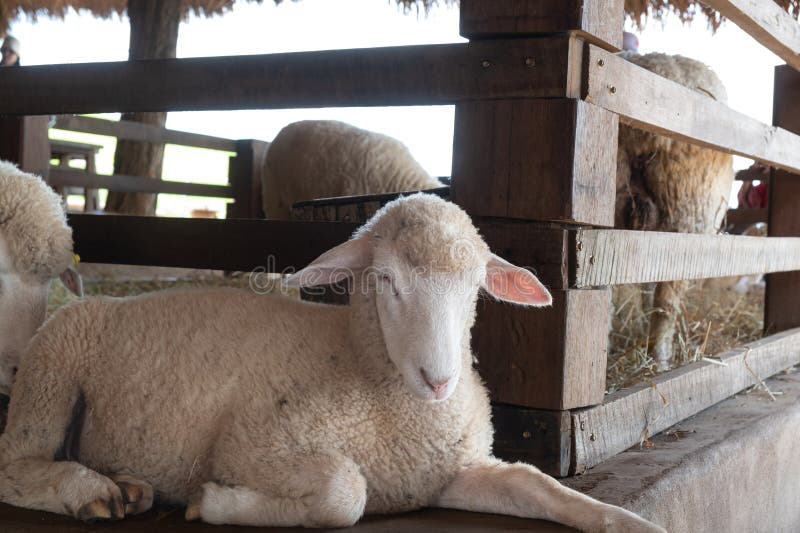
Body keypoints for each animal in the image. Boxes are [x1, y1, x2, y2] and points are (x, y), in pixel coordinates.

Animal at [0, 193, 664, 528]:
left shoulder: (448, 471)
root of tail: (101, 301)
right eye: (387, 279)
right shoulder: (254, 446)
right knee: (13, 463)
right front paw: (215, 504)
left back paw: (128, 487)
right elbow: (346, 494)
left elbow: (539, 487)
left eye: (476, 284)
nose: (440, 379)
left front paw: (630, 523)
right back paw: (94, 492)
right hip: (52, 371)